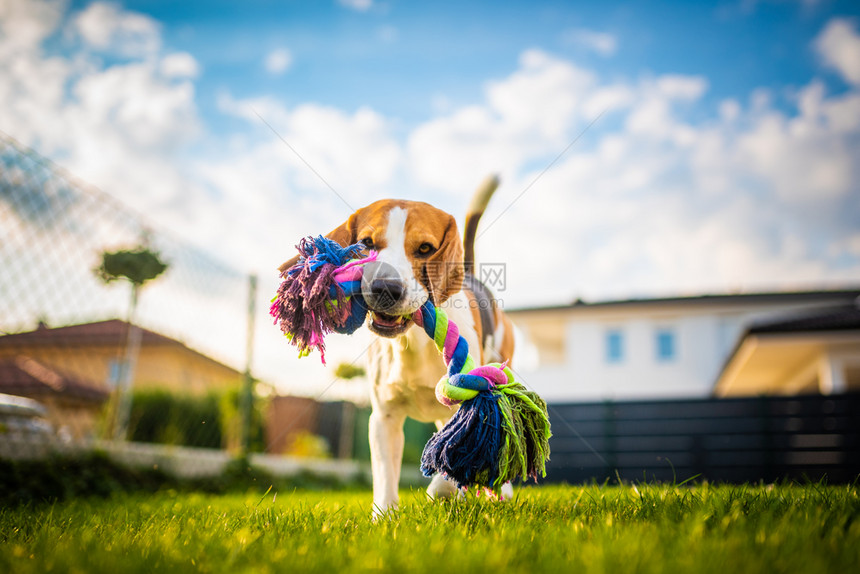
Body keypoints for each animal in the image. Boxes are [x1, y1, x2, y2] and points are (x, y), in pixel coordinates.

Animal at [280, 177, 510, 516]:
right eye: (366, 243)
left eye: (426, 248)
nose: (385, 287)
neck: (412, 342)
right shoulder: (383, 417)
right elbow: (386, 477)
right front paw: (385, 517)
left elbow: (450, 462)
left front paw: (440, 490)